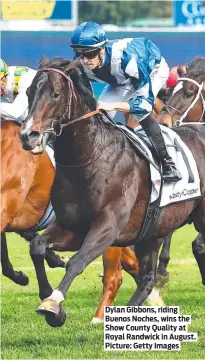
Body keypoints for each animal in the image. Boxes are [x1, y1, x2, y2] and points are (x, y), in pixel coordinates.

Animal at [19, 57, 205, 330]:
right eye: (29, 92)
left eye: (55, 93)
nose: (28, 136)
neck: (89, 157)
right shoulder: (72, 226)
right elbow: (37, 246)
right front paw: (49, 299)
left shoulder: (108, 226)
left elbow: (77, 261)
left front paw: (53, 304)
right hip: (154, 230)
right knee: (147, 278)